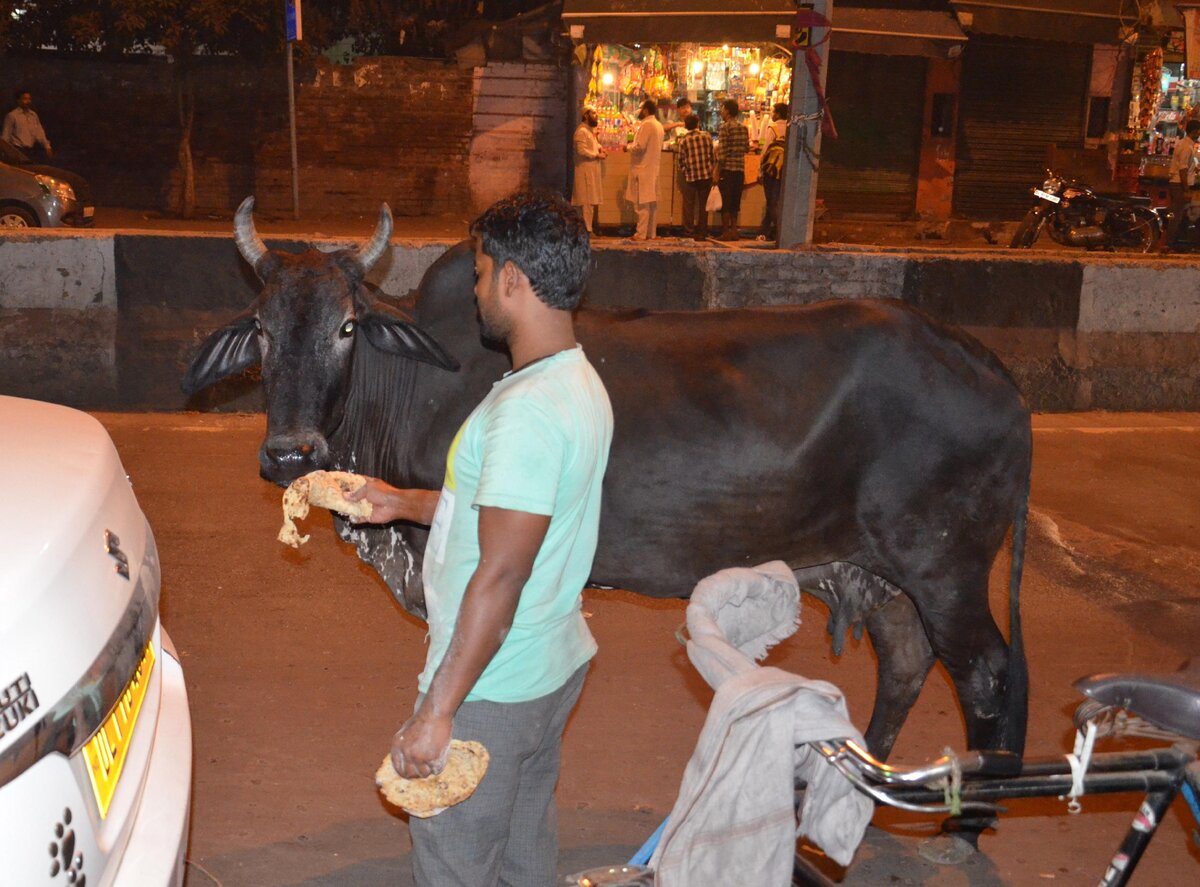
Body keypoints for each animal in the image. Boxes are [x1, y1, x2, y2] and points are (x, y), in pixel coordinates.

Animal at [184, 202, 1032, 763]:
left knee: (987, 674)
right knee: (908, 661)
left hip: (944, 567)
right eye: (260, 328)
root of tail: (992, 369)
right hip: (886, 573)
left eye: (347, 326)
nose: (291, 454)